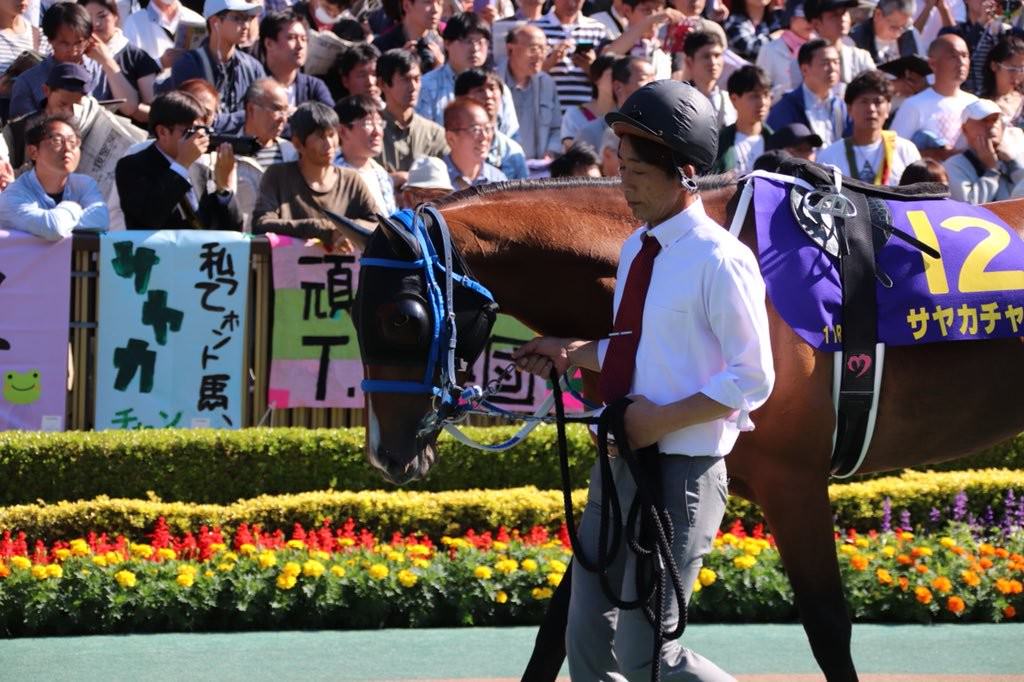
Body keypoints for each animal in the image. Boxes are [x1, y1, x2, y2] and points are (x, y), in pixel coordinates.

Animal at [353, 176, 1024, 682]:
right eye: (354, 312)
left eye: (402, 316)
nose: (387, 454)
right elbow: (558, 628)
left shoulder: (793, 482)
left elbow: (829, 627)